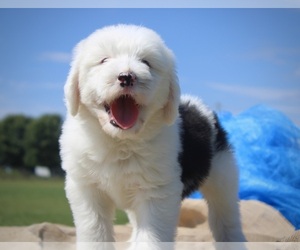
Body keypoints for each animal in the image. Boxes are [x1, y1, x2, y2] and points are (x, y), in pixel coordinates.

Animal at [59, 23, 246, 248]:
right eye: (104, 60)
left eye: (146, 62)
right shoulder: (86, 188)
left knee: (227, 217)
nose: (126, 76)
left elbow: (151, 235)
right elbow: (94, 230)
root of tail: (199, 105)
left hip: (222, 177)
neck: (120, 142)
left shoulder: (157, 193)